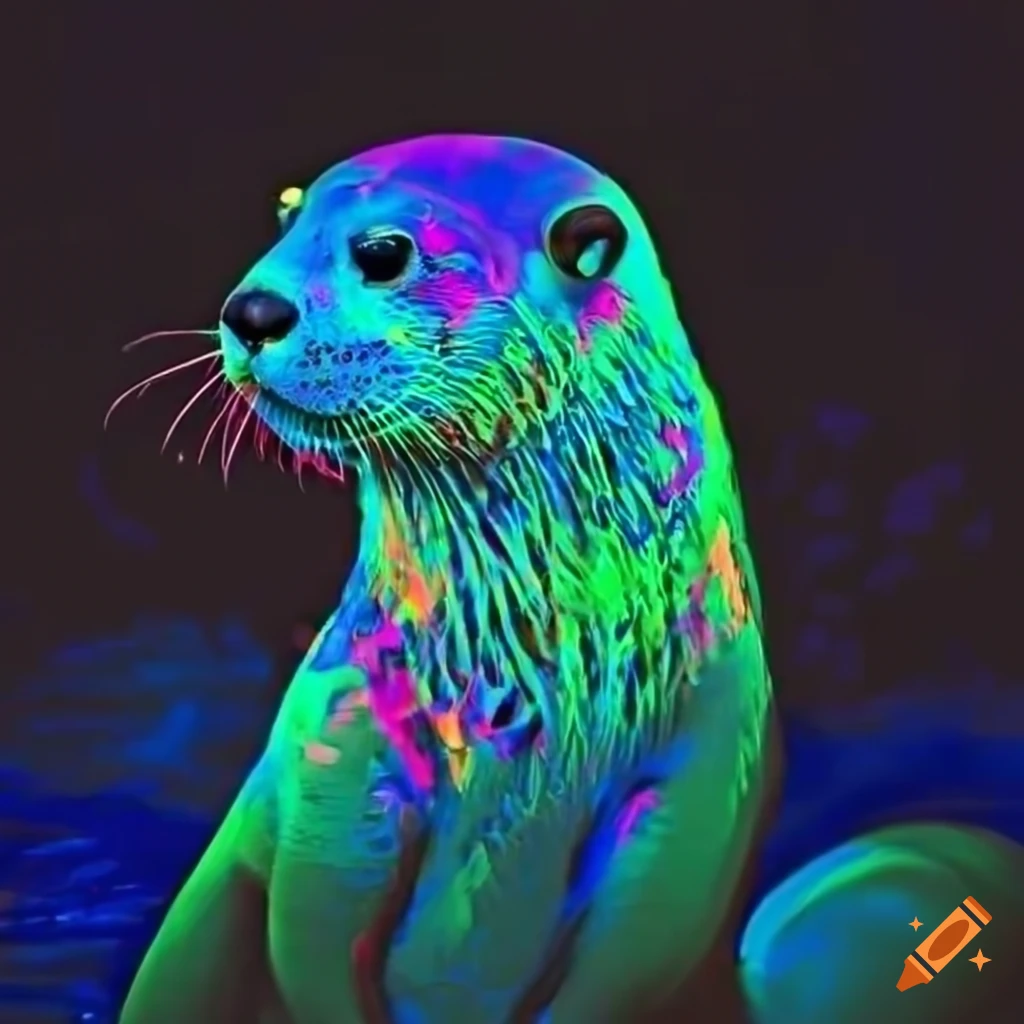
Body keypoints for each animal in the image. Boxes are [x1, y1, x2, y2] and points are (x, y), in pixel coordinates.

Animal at [117, 136, 1024, 1024]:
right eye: (286, 212)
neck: (528, 696)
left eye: (383, 252)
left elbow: (629, 960)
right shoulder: (335, 750)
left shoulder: (699, 791)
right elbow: (309, 936)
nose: (252, 312)